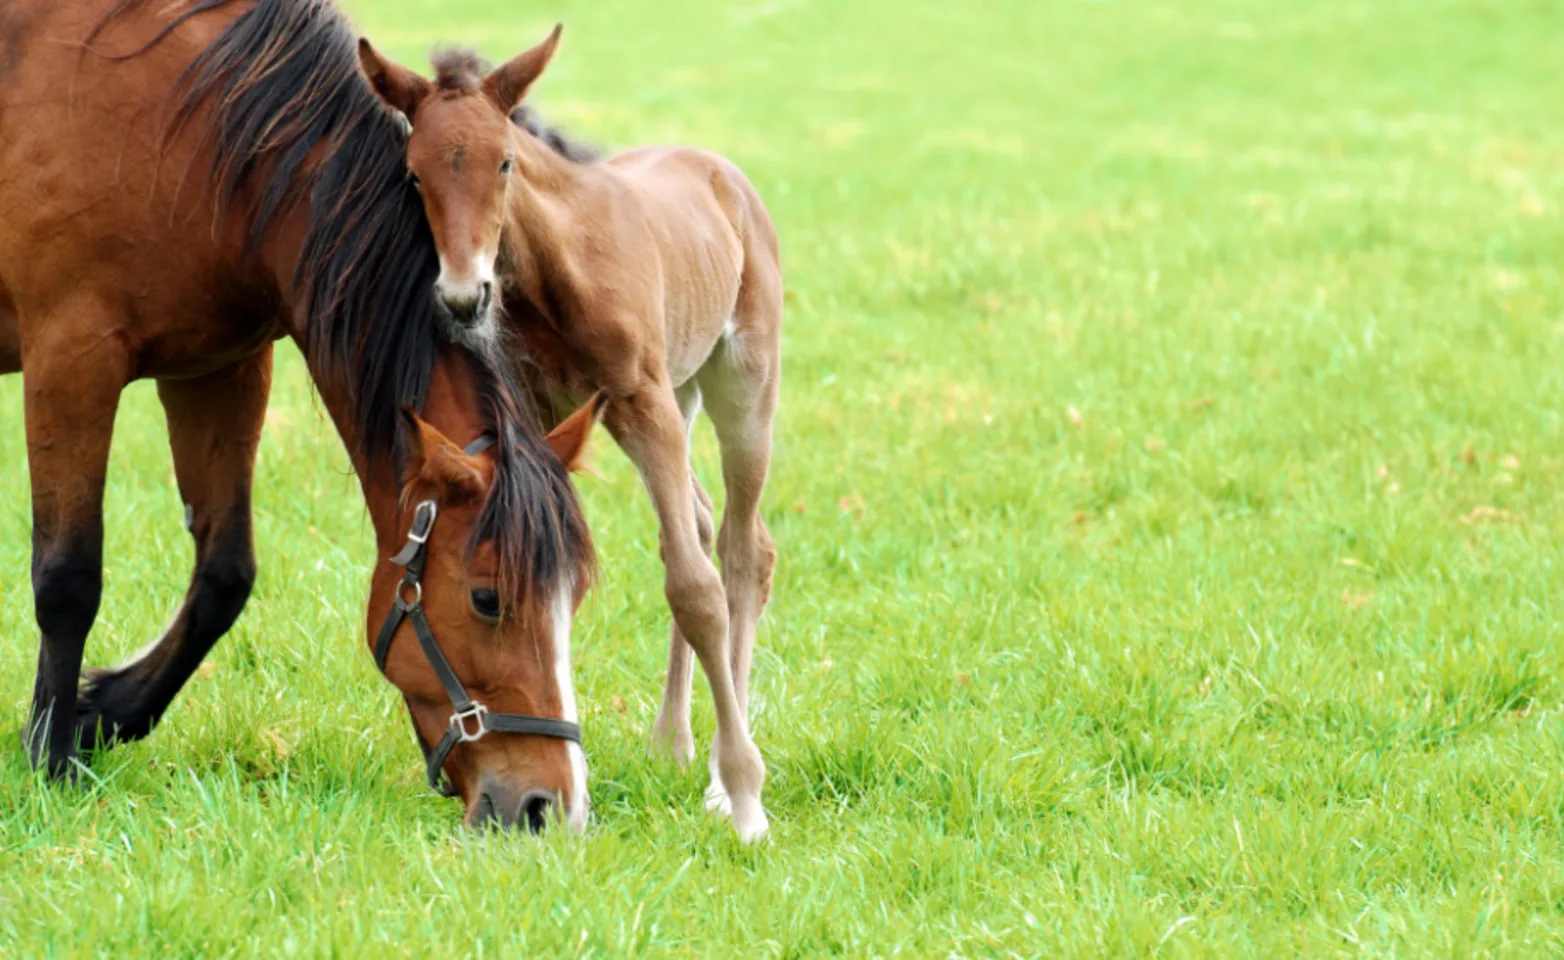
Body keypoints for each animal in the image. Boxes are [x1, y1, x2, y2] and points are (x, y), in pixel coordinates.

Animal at [361, 26, 788, 844]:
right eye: (413, 174)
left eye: (503, 160)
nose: (462, 297)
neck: (554, 264)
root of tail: (722, 173)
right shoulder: (546, 411)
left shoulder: (642, 398)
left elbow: (696, 588)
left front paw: (747, 799)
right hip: (675, 397)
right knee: (696, 520)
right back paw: (672, 741)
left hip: (738, 381)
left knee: (743, 548)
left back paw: (723, 777)